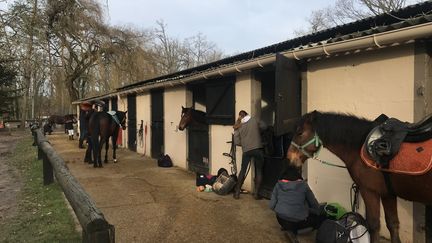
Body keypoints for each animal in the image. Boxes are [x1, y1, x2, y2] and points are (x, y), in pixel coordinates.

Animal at [286, 110, 432, 243]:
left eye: (300, 133)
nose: (290, 158)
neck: (360, 145)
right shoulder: (388, 194)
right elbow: (393, 224)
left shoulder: (369, 191)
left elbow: (374, 225)